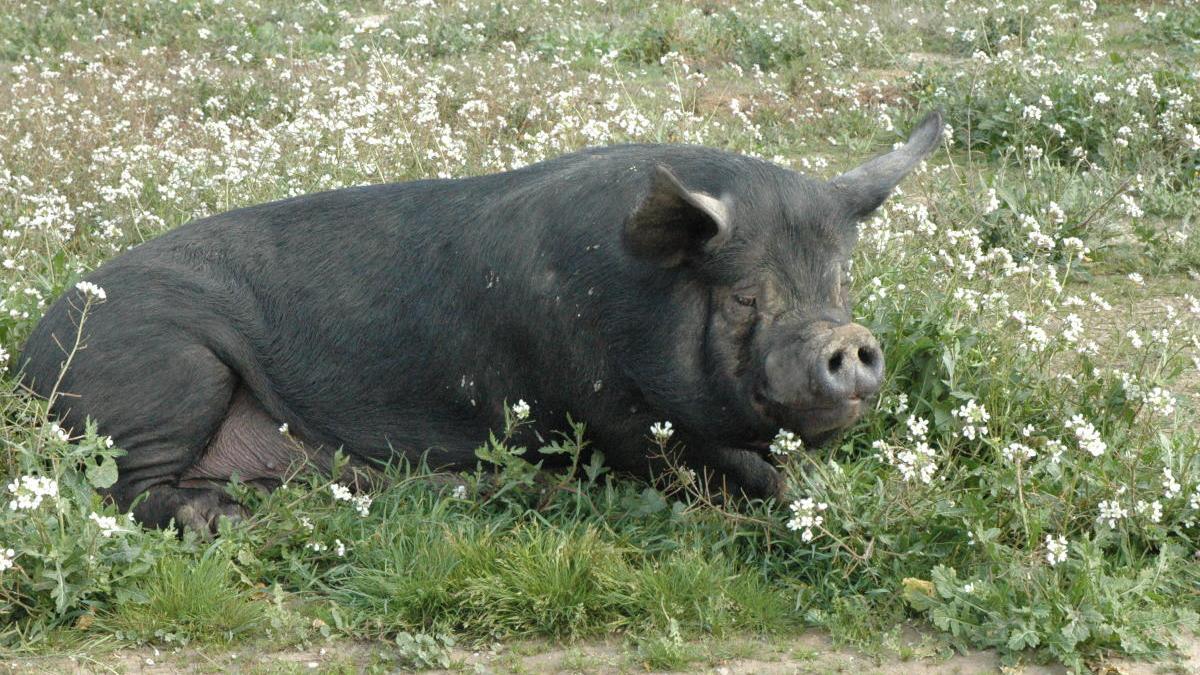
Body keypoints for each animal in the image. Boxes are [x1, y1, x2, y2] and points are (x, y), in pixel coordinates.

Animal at [14, 112, 940, 528]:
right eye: (745, 294)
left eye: (840, 281)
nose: (846, 341)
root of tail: (27, 363)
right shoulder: (606, 408)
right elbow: (732, 468)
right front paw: (794, 491)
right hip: (170, 363)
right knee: (121, 488)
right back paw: (226, 519)